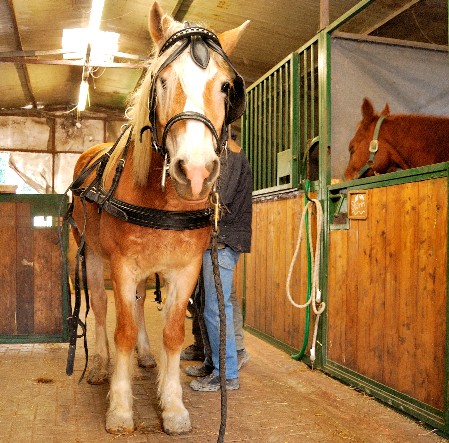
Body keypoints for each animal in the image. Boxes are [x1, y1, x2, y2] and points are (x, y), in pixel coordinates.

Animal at [68, 0, 248, 438]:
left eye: (225, 86)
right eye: (162, 81)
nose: (196, 172)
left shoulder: (184, 269)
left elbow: (172, 332)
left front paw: (173, 406)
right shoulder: (122, 264)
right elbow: (122, 330)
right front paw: (120, 408)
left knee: (135, 306)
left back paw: (146, 358)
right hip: (92, 257)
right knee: (101, 308)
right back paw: (100, 366)